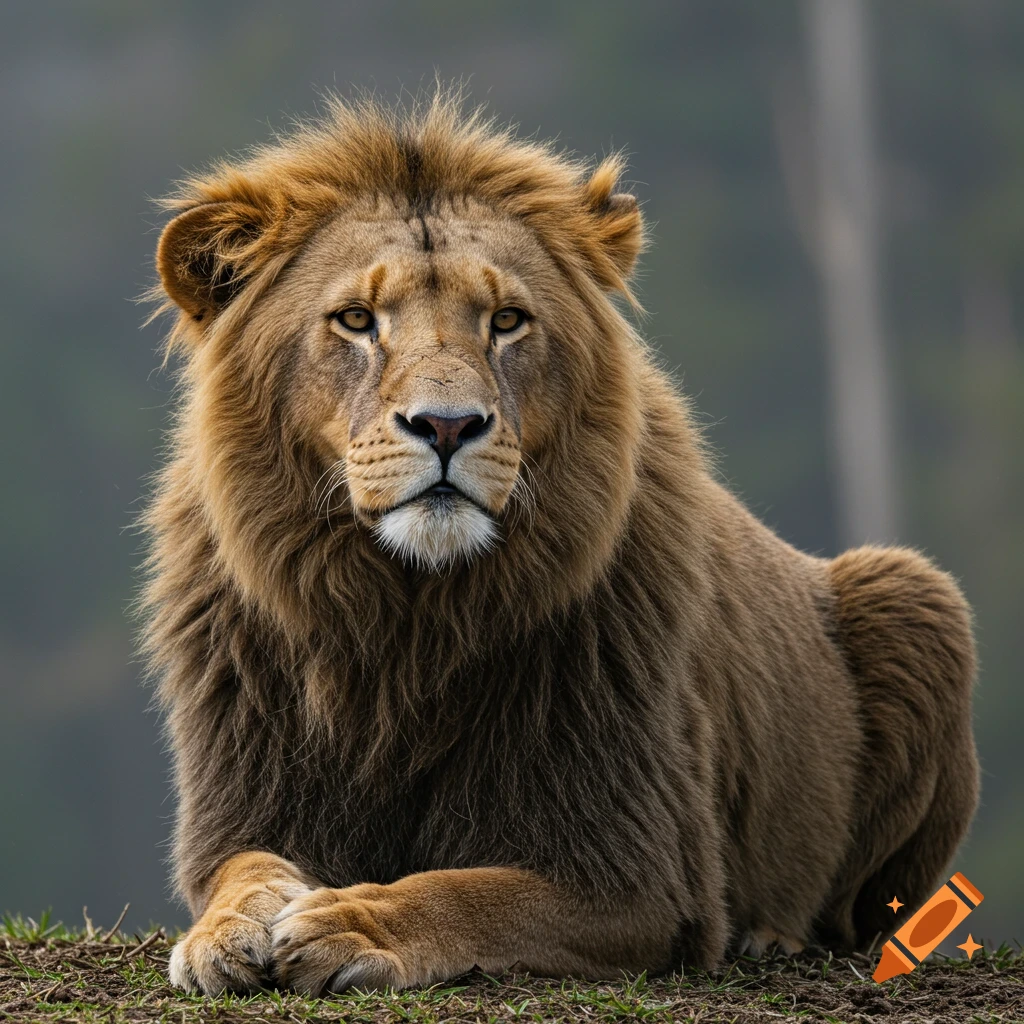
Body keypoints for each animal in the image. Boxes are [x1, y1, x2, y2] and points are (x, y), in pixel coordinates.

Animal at [140, 94, 979, 996]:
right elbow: (245, 871)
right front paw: (224, 933)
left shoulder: (641, 876)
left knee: (859, 917)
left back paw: (772, 936)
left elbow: (468, 893)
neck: (409, 617)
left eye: (506, 321)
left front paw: (352, 922)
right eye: (357, 321)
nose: (448, 425)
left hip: (915, 590)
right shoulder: (250, 804)